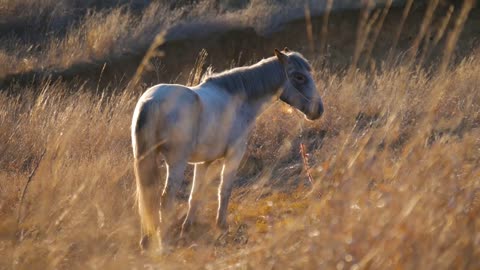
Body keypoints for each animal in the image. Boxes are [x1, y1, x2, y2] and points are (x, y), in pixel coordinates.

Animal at [130, 47, 322, 250]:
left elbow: (195, 195)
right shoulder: (234, 155)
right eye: (299, 77)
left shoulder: (203, 162)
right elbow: (225, 189)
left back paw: (146, 241)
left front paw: (186, 229)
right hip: (176, 163)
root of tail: (152, 101)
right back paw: (164, 242)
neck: (238, 99)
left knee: (148, 195)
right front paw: (221, 227)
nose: (318, 110)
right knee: (165, 199)